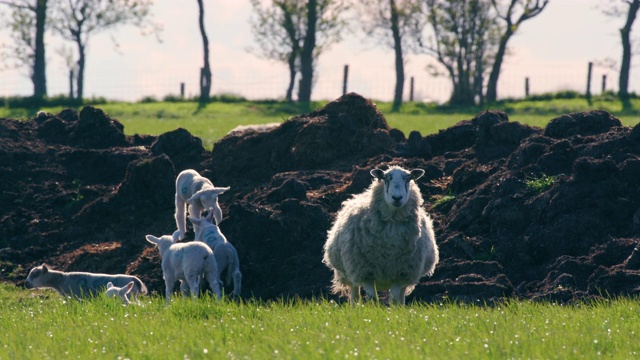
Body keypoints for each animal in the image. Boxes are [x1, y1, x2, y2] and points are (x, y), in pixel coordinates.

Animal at [322, 165, 438, 304]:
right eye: (385, 178)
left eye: (409, 178)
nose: (397, 198)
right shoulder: (366, 273)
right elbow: (372, 299)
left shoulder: (400, 274)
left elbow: (394, 300)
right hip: (350, 271)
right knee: (355, 295)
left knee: (401, 297)